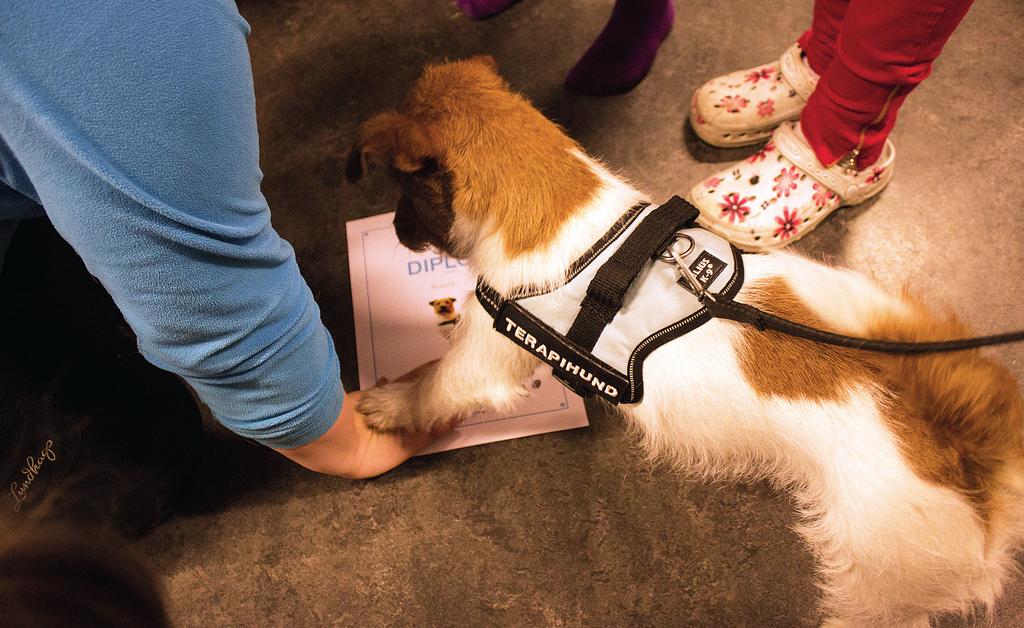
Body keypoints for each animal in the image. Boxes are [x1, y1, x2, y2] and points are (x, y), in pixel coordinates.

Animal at [348, 56, 1024, 622]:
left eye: (404, 194)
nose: (398, 233)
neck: (567, 209)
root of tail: (966, 453)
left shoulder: (485, 355)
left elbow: (437, 385)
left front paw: (389, 404)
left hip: (883, 581)